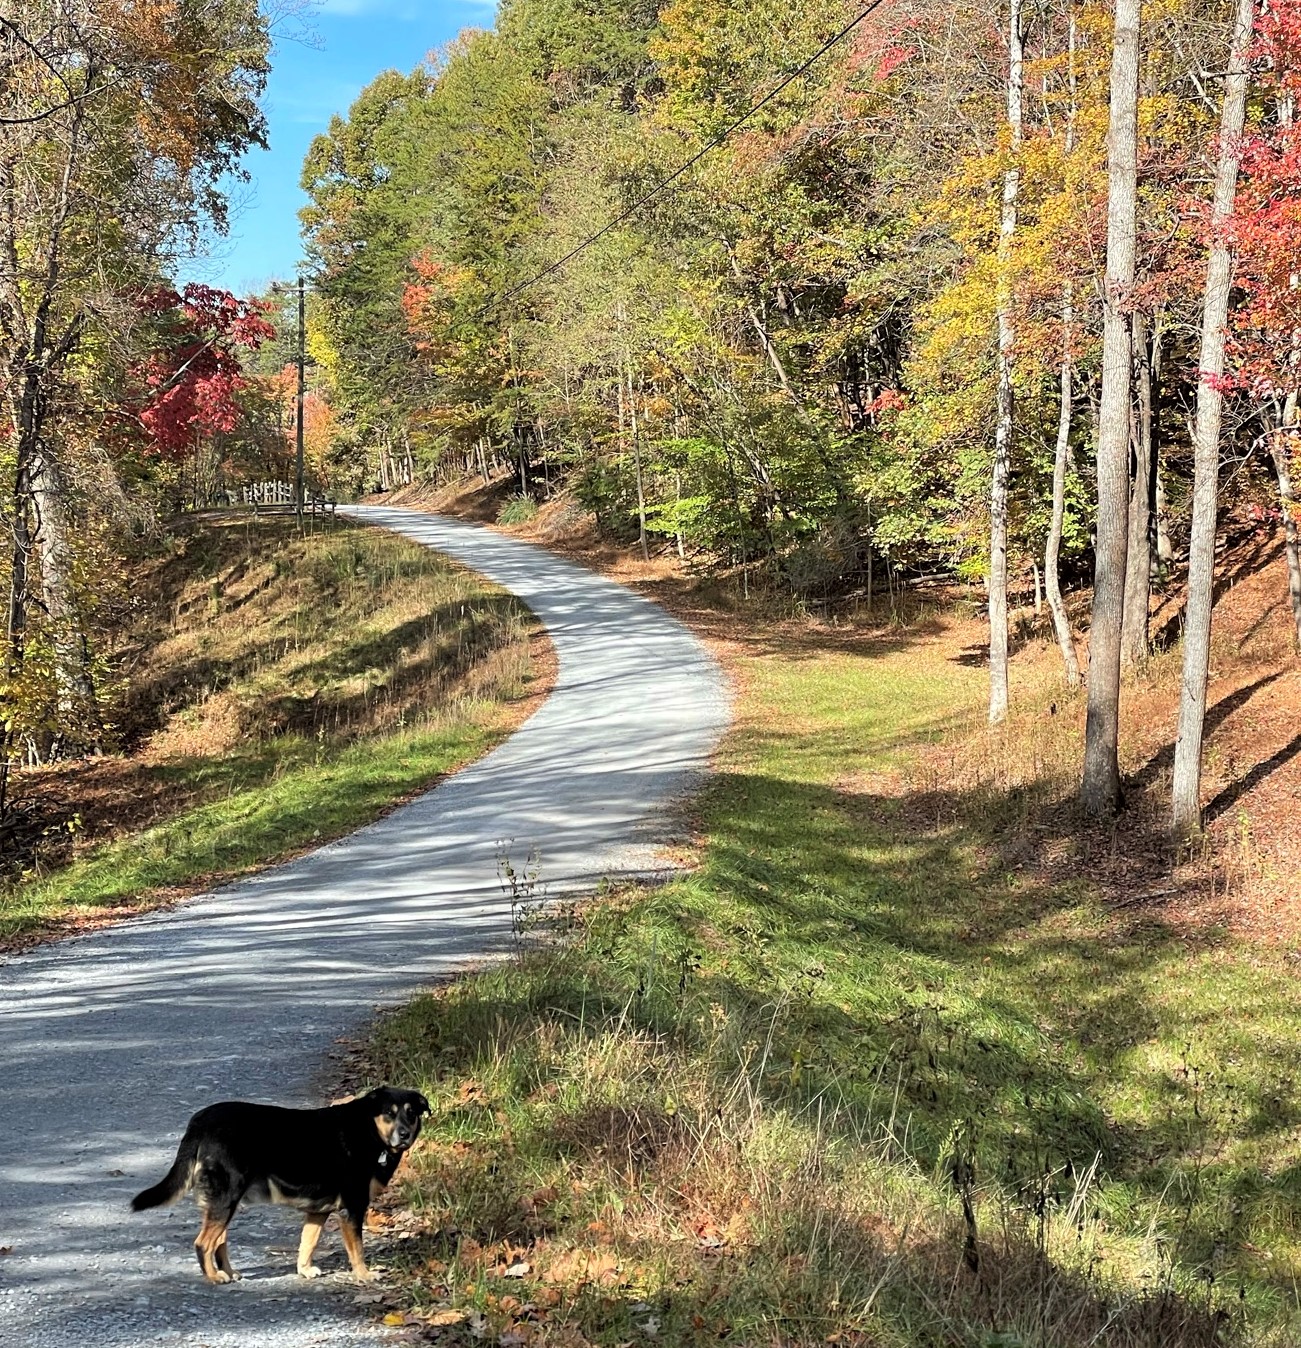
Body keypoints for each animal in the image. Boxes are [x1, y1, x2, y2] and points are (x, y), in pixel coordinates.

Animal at [130, 1083, 428, 1283]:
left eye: (411, 1114)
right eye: (389, 1113)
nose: (404, 1134)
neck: (368, 1129)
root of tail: (199, 1122)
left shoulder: (317, 1212)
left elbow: (308, 1242)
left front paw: (304, 1270)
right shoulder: (352, 1209)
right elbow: (357, 1250)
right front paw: (364, 1275)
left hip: (225, 1201)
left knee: (219, 1241)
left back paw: (228, 1272)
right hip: (226, 1197)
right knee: (203, 1243)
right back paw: (214, 1277)